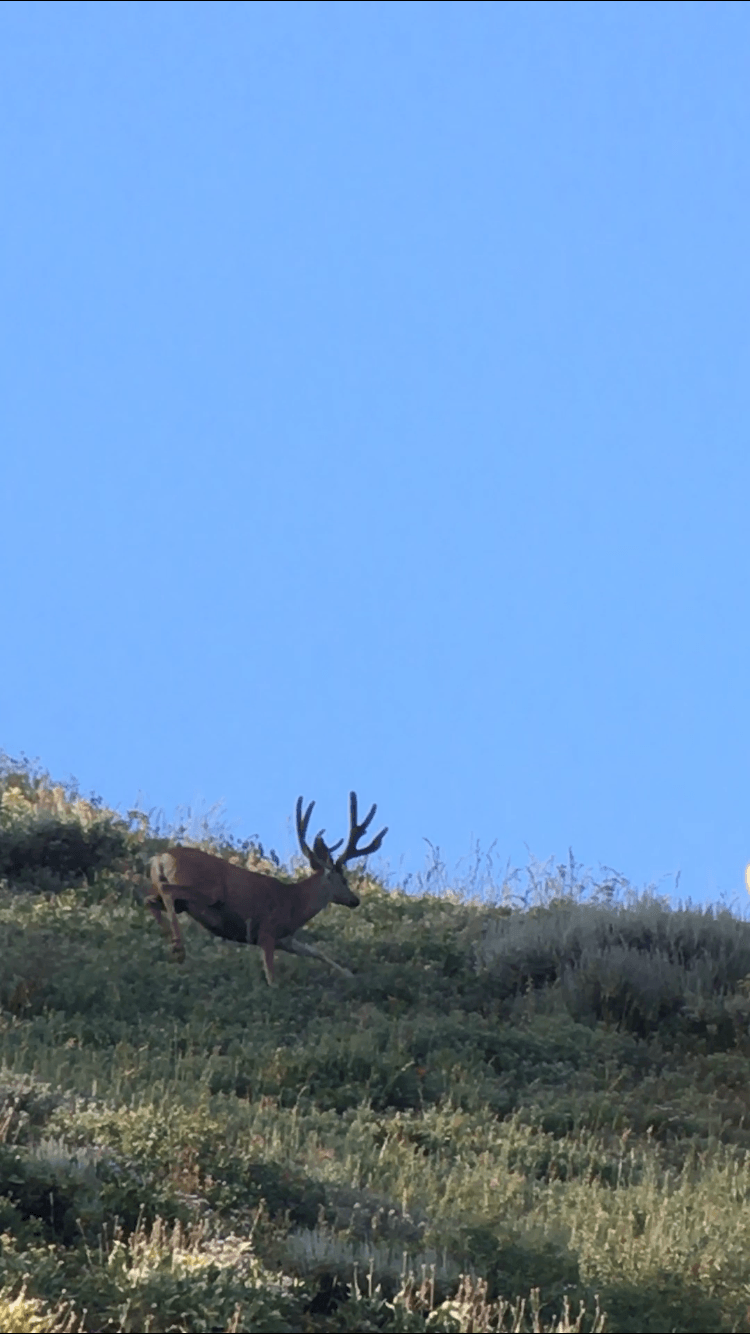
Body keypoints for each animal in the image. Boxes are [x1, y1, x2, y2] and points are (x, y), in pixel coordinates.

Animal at [146, 792, 387, 984]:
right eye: (344, 880)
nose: (355, 900)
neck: (295, 904)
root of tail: (161, 857)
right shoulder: (267, 930)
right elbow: (271, 977)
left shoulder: (284, 938)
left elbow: (316, 951)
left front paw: (350, 974)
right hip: (206, 890)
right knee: (168, 890)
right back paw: (178, 948)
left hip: (181, 898)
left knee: (151, 899)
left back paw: (168, 938)